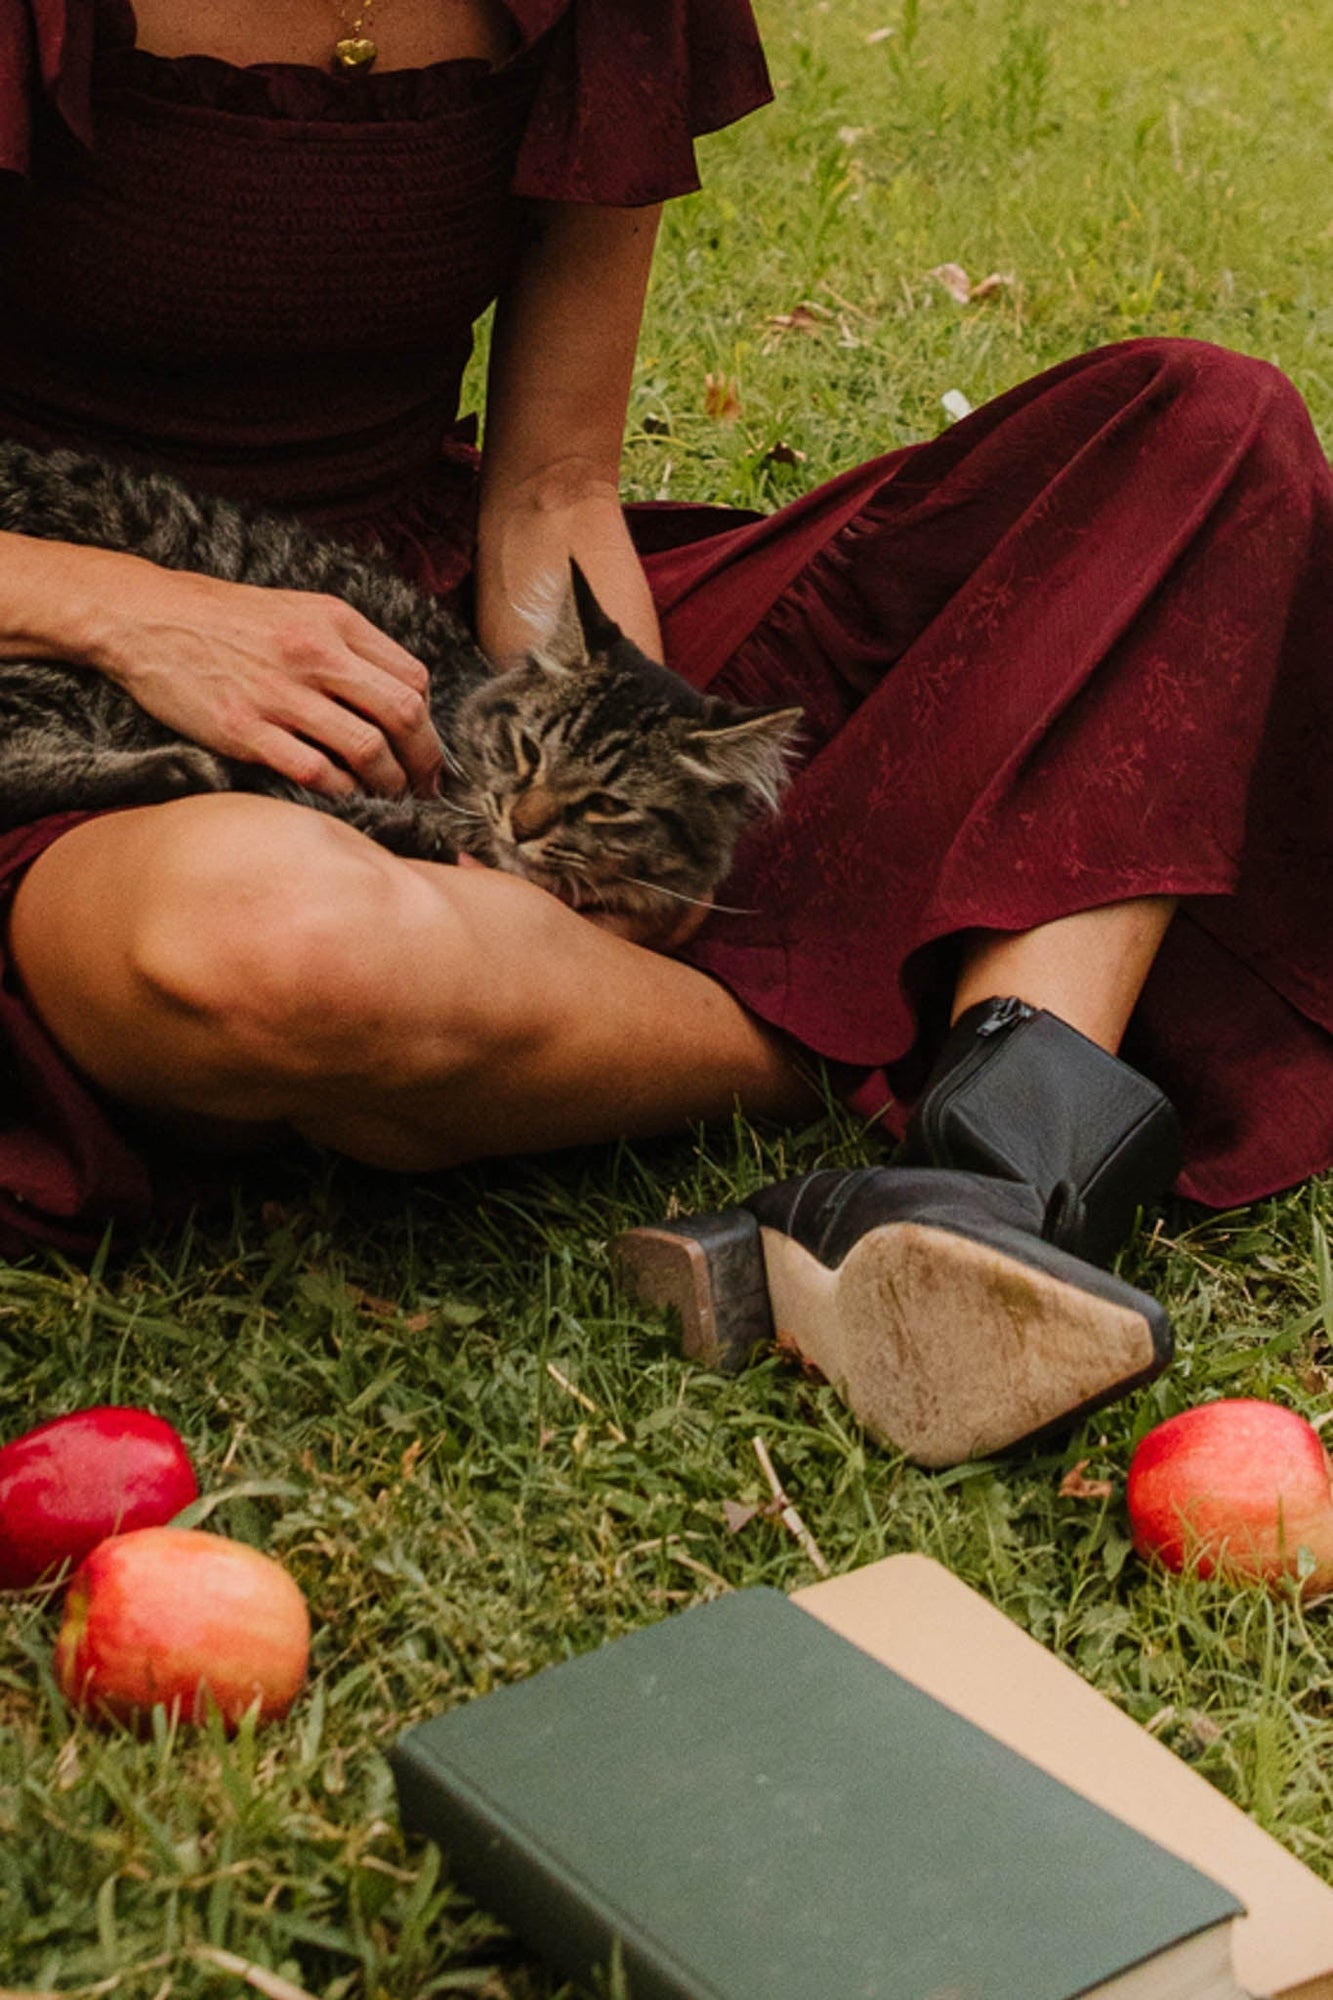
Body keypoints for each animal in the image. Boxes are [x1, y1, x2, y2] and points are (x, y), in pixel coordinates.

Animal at [0, 442, 792, 924]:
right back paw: (176, 767)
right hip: (51, 669)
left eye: (606, 804)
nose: (522, 822)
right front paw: (411, 827)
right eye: (528, 751)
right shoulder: (297, 761)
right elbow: (330, 801)